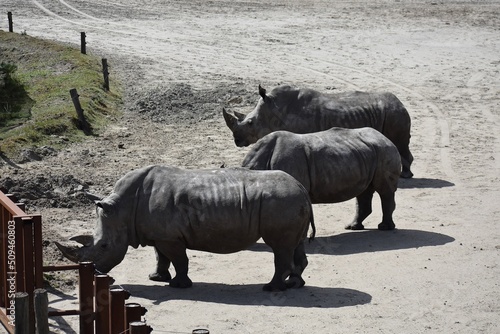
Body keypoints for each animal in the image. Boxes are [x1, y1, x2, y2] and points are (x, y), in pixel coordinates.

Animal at [56, 166, 314, 290]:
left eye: (104, 246)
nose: (94, 274)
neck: (122, 208)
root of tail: (302, 188)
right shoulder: (159, 234)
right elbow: (161, 257)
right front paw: (156, 278)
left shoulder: (169, 237)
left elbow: (179, 259)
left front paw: (179, 285)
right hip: (290, 201)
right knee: (295, 245)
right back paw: (294, 284)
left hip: (282, 201)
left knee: (280, 247)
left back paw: (271, 289)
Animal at [225, 85, 412, 177]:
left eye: (250, 123)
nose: (236, 140)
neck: (274, 110)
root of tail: (401, 102)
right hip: (392, 112)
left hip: (394, 113)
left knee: (400, 143)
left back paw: (405, 175)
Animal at [240, 126, 400, 231]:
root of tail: (386, 138)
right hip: (367, 154)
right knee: (364, 191)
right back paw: (353, 227)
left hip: (384, 151)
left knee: (385, 191)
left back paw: (384, 228)